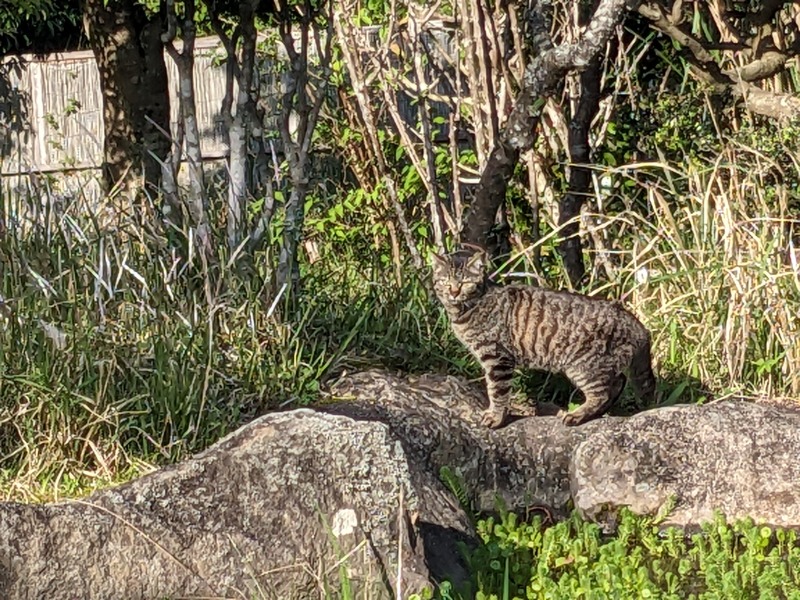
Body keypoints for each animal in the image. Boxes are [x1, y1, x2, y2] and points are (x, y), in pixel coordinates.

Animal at [432, 248, 656, 426]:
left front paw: (495, 417)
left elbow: (497, 390)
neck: (465, 310)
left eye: (465, 282)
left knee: (601, 393)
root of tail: (638, 325)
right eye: (445, 282)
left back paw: (577, 415)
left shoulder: (497, 358)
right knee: (617, 383)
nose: (453, 291)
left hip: (584, 366)